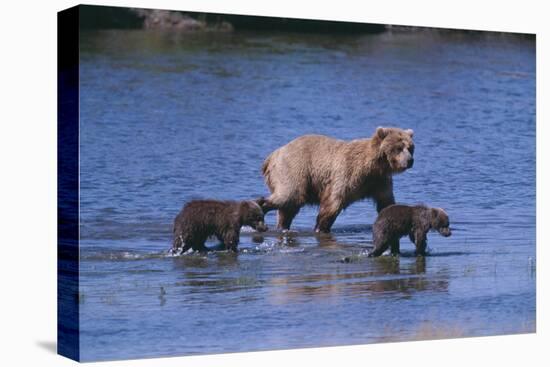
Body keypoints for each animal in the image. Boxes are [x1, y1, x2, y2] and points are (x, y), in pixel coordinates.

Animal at [262, 128, 414, 233]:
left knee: (288, 208)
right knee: (289, 195)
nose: (410, 160)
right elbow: (333, 201)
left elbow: (386, 203)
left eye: (410, 148)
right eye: (399, 148)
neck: (374, 166)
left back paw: (282, 225)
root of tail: (272, 155)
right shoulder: (348, 172)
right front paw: (320, 227)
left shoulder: (379, 181)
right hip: (294, 169)